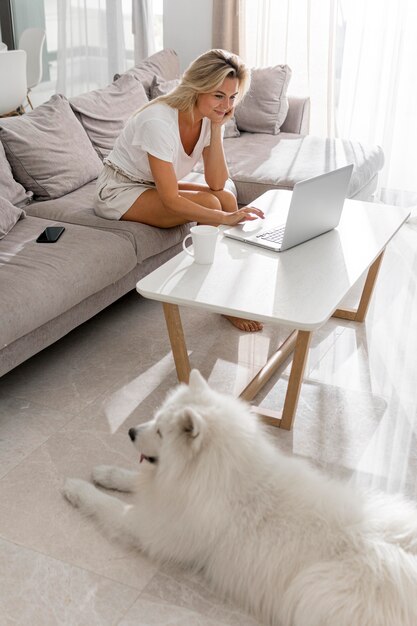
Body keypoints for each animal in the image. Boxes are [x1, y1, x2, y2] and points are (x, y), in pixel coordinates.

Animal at [62, 368, 416, 620]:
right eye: (155, 419)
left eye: (161, 432)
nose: (131, 431)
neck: (214, 474)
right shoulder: (167, 495)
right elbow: (132, 480)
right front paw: (105, 473)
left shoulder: (153, 528)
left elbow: (106, 505)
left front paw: (75, 488)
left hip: (314, 591)